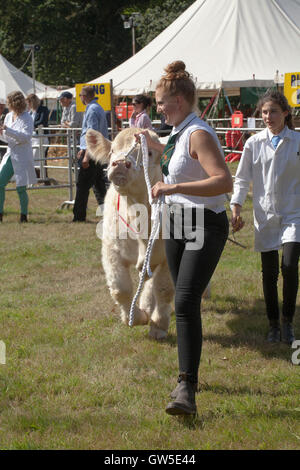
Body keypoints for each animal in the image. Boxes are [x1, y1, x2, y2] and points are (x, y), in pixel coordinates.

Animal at [85, 129, 175, 338]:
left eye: (148, 153)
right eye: (112, 151)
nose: (119, 163)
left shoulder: (169, 256)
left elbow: (164, 290)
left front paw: (159, 325)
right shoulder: (111, 251)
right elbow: (121, 289)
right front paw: (137, 317)